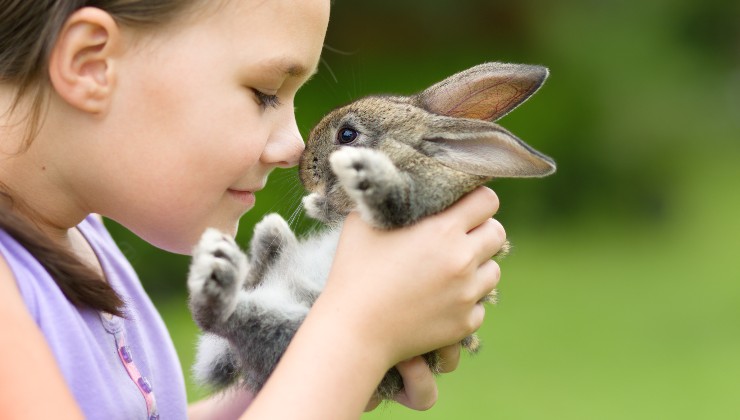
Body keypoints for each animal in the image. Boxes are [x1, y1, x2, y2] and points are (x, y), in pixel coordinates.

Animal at [187, 62, 557, 402]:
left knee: (221, 316)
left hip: (296, 331)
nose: (304, 169)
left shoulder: (415, 201)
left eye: (347, 135)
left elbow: (390, 197)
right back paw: (258, 242)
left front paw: (358, 175)